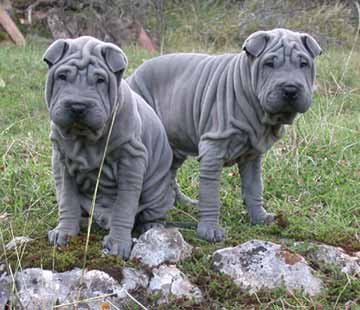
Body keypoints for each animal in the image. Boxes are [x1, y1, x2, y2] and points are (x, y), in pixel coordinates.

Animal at [44, 37, 174, 260]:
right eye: (62, 77)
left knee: (151, 212)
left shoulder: (132, 160)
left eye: (100, 80)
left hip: (157, 194)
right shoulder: (61, 159)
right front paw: (64, 232)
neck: (85, 138)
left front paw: (117, 243)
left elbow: (124, 205)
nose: (77, 106)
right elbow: (67, 199)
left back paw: (152, 227)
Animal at [128, 28, 322, 242]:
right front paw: (209, 230)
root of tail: (131, 78)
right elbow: (211, 196)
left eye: (303, 64)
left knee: (168, 174)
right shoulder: (213, 151)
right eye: (269, 64)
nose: (290, 89)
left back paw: (180, 203)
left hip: (174, 145)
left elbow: (254, 188)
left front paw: (260, 218)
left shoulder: (253, 156)